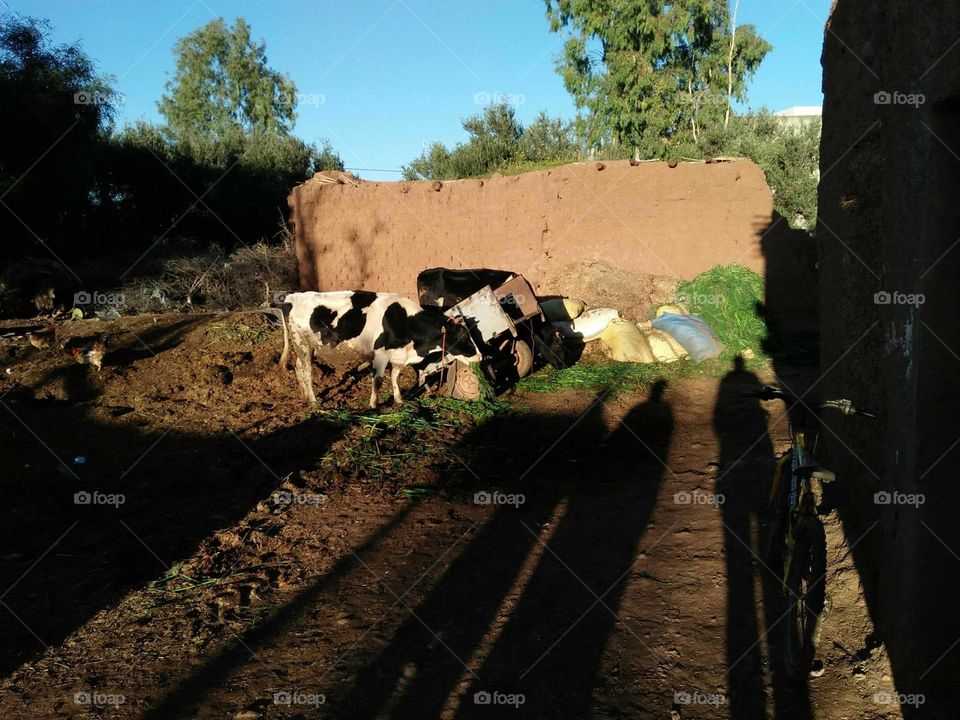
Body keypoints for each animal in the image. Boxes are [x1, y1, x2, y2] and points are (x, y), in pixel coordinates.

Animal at [275, 291, 482, 408]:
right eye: (464, 337)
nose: (480, 356)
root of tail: (292, 297)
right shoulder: (381, 352)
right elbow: (379, 380)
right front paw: (374, 405)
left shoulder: (397, 355)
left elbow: (395, 377)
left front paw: (399, 401)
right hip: (301, 342)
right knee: (307, 371)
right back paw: (314, 402)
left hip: (305, 346)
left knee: (299, 368)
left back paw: (305, 396)